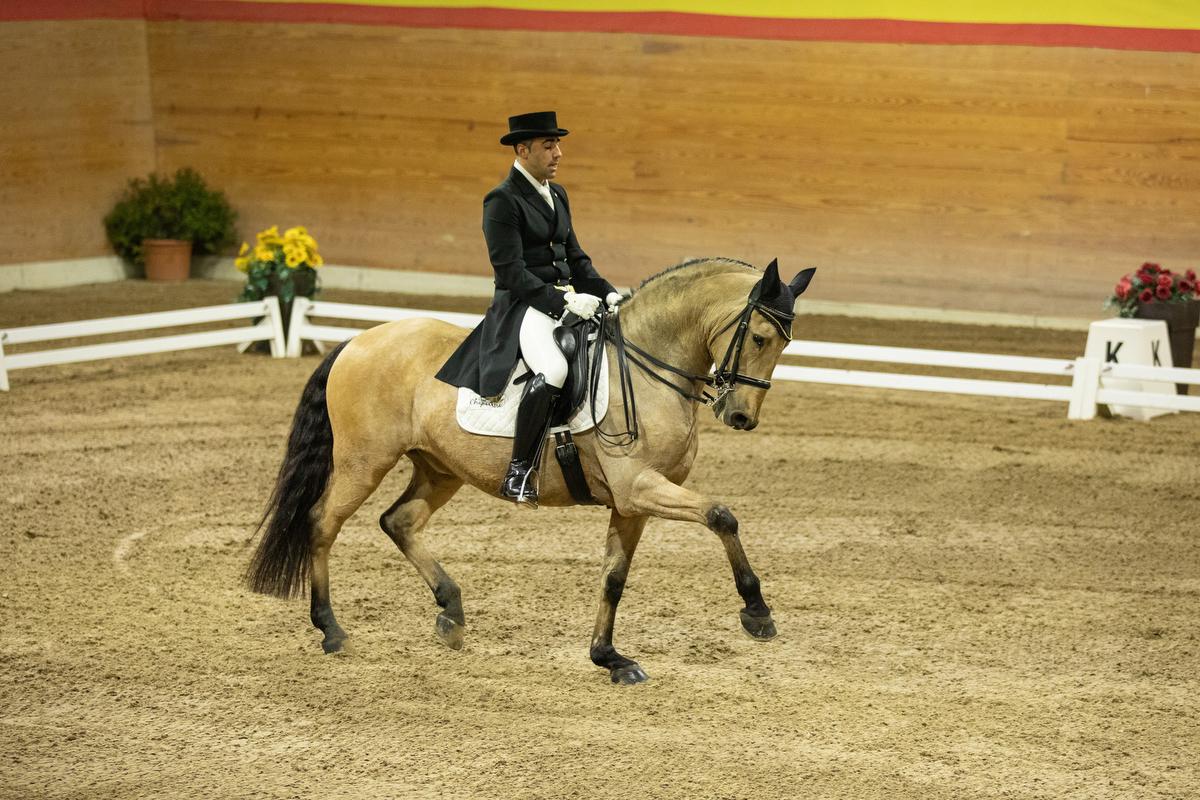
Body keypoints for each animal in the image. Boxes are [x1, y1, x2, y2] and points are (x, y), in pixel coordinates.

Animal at [243, 260, 816, 686]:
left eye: (786, 343)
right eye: (760, 338)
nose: (741, 417)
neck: (649, 365)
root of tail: (357, 342)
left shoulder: (631, 504)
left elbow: (613, 577)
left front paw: (609, 658)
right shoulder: (640, 488)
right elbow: (721, 515)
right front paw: (757, 612)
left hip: (440, 467)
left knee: (399, 521)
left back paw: (451, 614)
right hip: (364, 461)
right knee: (322, 524)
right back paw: (332, 630)